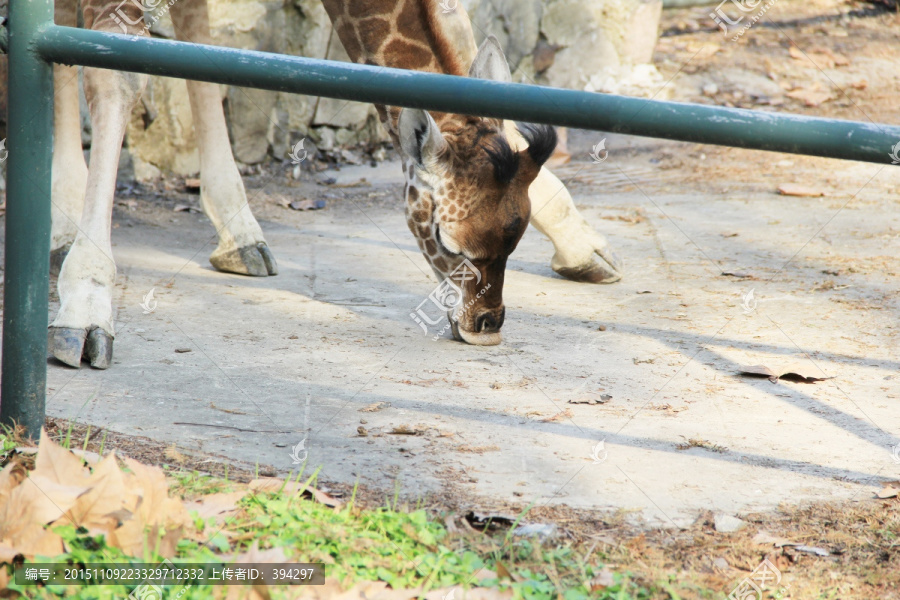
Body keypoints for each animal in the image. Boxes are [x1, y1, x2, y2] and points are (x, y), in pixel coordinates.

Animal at [49, 0, 624, 366]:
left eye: (518, 239)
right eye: (447, 242)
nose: (486, 325)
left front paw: (583, 246)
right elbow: (115, 67)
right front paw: (84, 315)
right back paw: (64, 229)